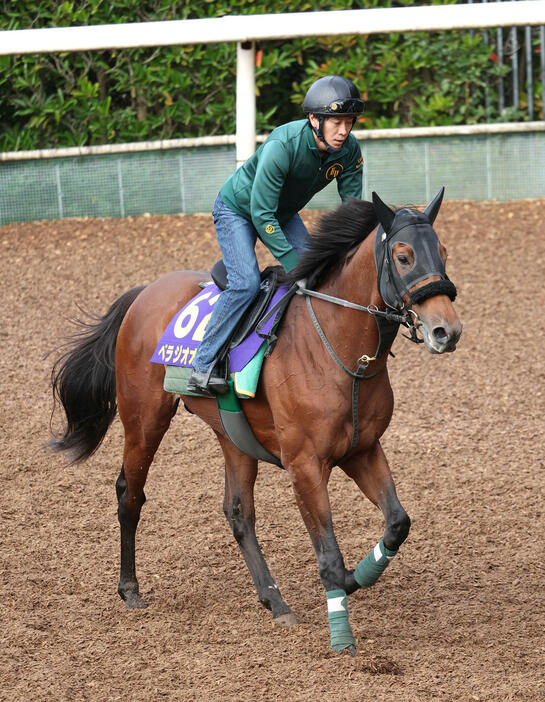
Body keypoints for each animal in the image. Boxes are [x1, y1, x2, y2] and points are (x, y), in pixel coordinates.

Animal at [50, 190, 460, 656]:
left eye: (443, 252)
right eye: (404, 256)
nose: (447, 331)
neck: (339, 349)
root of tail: (144, 293)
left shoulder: (363, 449)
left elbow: (396, 523)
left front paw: (360, 576)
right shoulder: (305, 465)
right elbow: (329, 556)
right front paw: (342, 639)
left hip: (232, 434)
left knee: (238, 511)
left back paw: (274, 600)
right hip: (145, 419)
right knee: (129, 494)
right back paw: (131, 590)